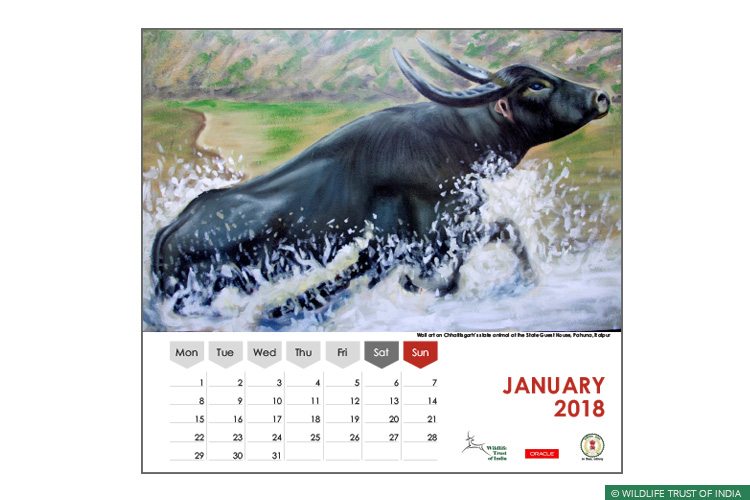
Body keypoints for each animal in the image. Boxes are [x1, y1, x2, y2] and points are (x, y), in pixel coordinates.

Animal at [151, 39, 610, 319]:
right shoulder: (427, 239)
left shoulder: (447, 232)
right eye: (536, 85)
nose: (602, 96)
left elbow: (506, 233)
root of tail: (168, 234)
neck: (457, 141)